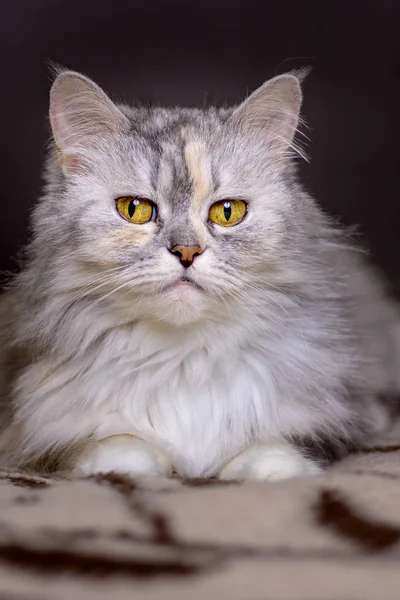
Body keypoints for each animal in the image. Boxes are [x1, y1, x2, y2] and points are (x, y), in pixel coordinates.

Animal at [0, 69, 400, 482]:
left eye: (227, 212)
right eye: (134, 209)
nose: (186, 252)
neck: (183, 359)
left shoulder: (332, 409)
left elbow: (276, 450)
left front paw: (267, 471)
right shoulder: (35, 424)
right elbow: (123, 449)